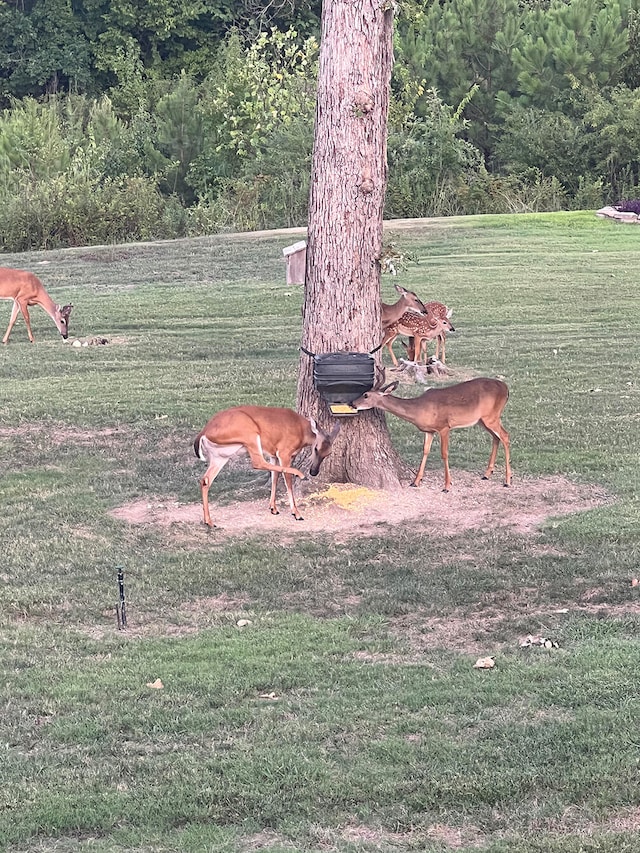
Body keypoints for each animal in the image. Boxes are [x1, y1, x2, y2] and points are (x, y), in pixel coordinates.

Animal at [192, 406, 340, 524]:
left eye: (328, 453)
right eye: (316, 448)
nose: (314, 472)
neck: (301, 431)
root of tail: (203, 433)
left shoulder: (273, 455)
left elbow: (275, 476)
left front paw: (273, 508)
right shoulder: (284, 452)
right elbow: (287, 479)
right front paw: (296, 513)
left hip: (219, 456)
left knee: (205, 480)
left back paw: (208, 521)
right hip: (250, 434)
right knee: (257, 462)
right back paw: (300, 474)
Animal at [350, 374, 510, 490]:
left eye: (366, 395)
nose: (352, 403)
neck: (419, 409)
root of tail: (506, 388)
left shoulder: (444, 427)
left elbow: (444, 454)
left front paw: (447, 486)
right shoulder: (429, 431)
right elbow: (425, 451)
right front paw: (415, 482)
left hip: (491, 416)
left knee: (505, 436)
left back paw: (507, 480)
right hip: (483, 420)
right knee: (496, 437)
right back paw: (487, 474)